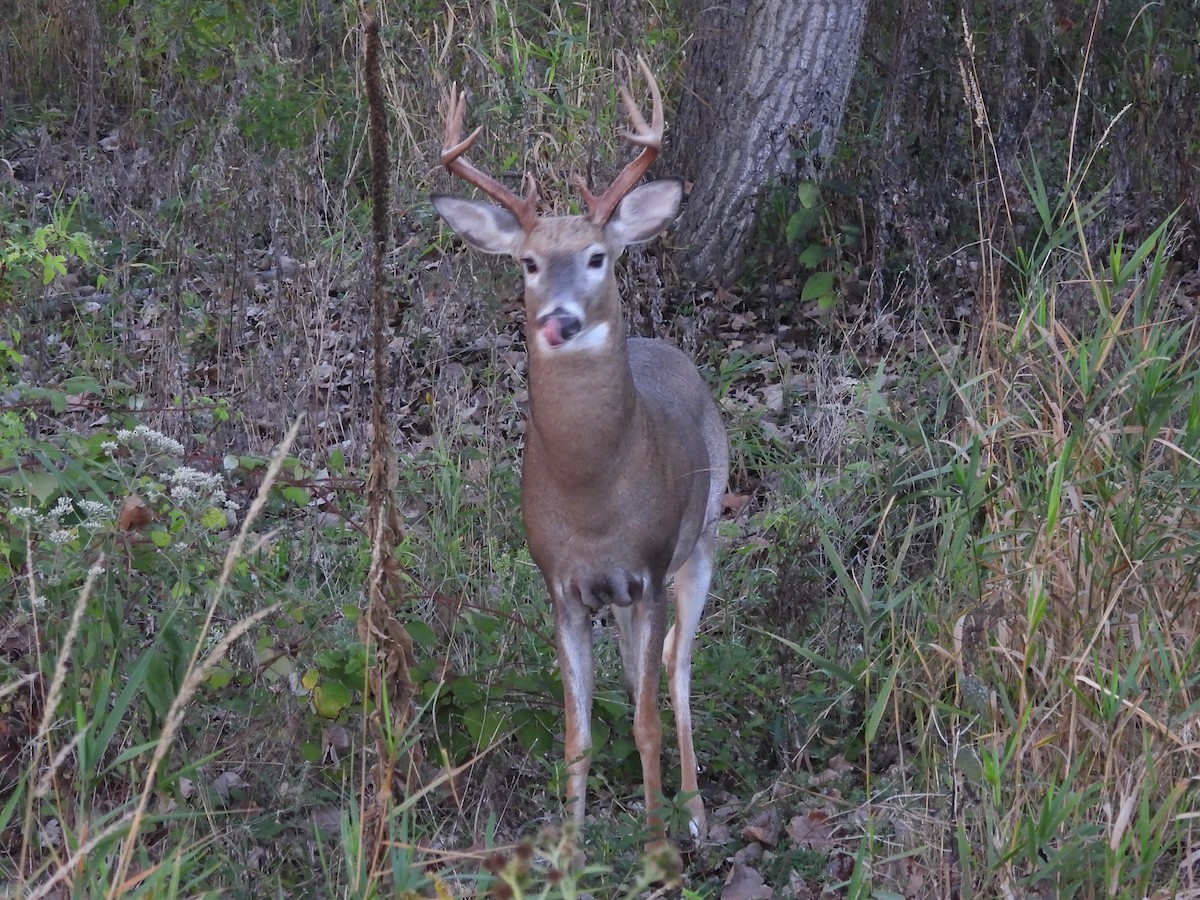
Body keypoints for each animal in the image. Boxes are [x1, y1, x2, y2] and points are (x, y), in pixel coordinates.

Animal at [431, 58, 728, 845]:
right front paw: (569, 847)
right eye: (529, 262)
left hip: (704, 537)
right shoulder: (562, 585)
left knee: (677, 667)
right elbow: (579, 732)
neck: (594, 497)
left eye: (598, 256)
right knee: (642, 665)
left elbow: (649, 718)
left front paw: (656, 845)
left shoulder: (648, 569)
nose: (558, 321)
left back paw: (694, 812)